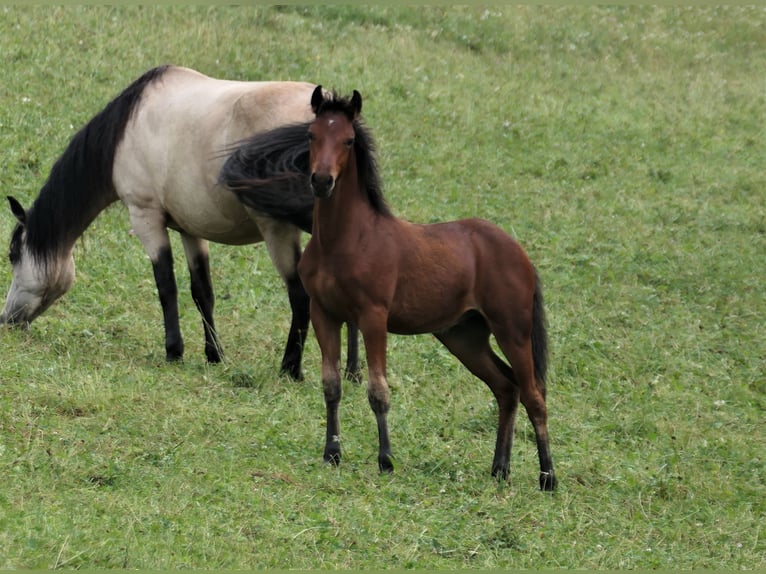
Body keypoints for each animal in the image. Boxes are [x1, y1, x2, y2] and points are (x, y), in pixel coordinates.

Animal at [0, 65, 360, 382]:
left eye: (13, 255)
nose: (6, 320)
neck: (126, 129)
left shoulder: (147, 218)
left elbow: (166, 286)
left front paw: (174, 351)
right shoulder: (190, 228)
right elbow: (202, 292)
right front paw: (214, 354)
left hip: (279, 229)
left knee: (300, 295)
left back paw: (291, 369)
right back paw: (353, 373)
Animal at [228, 88, 560, 492]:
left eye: (348, 140)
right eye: (311, 135)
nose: (322, 180)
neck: (345, 240)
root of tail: (518, 252)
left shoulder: (373, 317)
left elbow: (378, 390)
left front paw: (385, 459)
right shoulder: (325, 315)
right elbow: (331, 385)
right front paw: (332, 453)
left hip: (512, 330)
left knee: (534, 394)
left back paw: (547, 477)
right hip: (464, 336)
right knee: (506, 388)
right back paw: (499, 469)